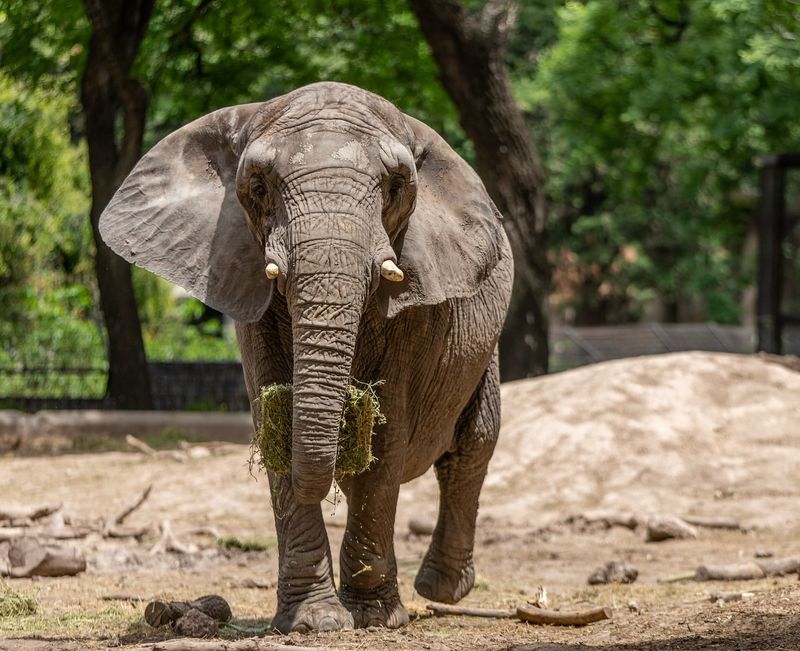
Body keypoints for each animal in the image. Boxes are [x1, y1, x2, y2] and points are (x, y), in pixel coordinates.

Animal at [100, 80, 512, 632]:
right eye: (258, 186)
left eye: (395, 188)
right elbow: (273, 423)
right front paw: (314, 621)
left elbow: (386, 435)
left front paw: (373, 618)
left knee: (471, 445)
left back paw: (441, 590)